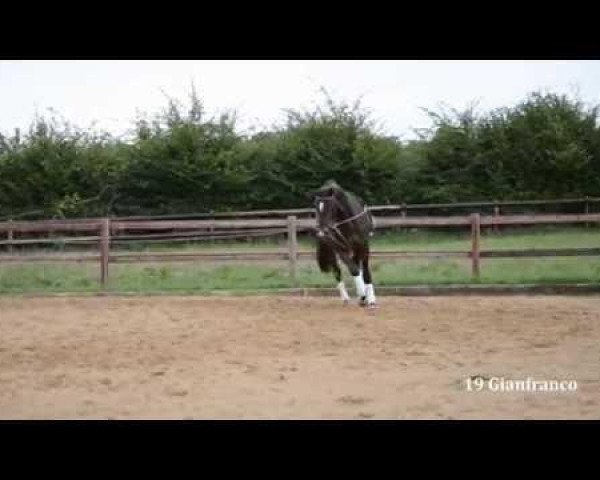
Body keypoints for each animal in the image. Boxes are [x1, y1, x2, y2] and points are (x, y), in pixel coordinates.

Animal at [308, 180, 378, 308]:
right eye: (316, 207)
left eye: (330, 206)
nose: (322, 232)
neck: (349, 224)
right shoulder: (340, 248)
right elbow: (353, 270)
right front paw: (362, 295)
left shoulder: (364, 246)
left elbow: (365, 271)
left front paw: (371, 299)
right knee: (337, 271)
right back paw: (346, 298)